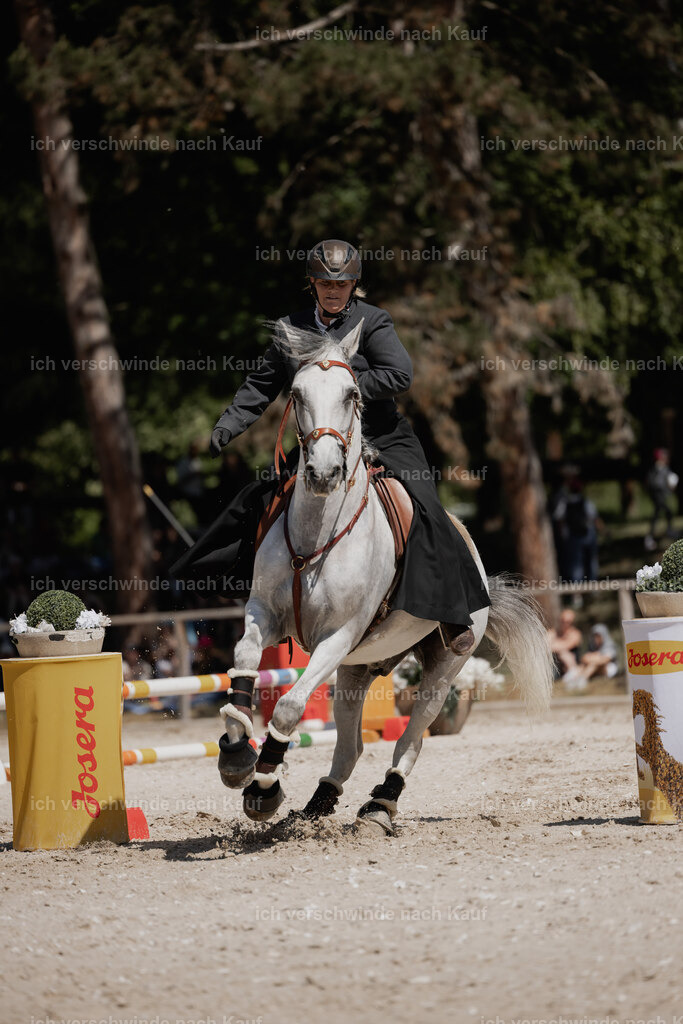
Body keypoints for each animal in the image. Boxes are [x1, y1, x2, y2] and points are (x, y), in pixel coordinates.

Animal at [217, 319, 553, 835]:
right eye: (296, 393)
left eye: (352, 394)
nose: (323, 473)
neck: (317, 533)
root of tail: (477, 566)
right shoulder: (265, 615)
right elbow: (243, 667)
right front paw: (237, 756)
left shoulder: (338, 636)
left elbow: (290, 706)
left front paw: (264, 786)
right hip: (357, 669)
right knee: (350, 746)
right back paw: (318, 805)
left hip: (443, 667)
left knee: (410, 740)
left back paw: (379, 806)